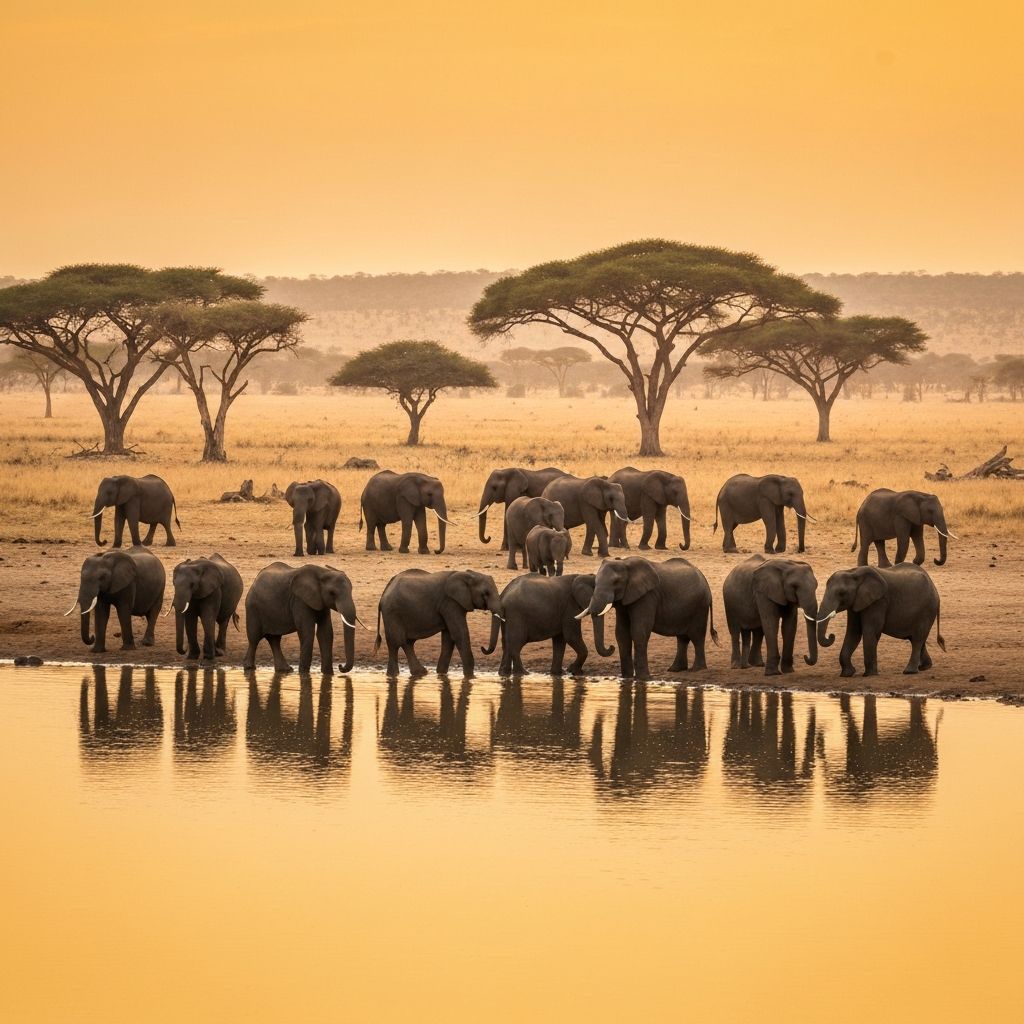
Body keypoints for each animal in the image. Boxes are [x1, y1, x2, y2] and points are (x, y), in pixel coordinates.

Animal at [374, 568, 503, 678]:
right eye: (486, 593)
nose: (483, 648)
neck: (466, 574)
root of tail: (383, 594)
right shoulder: (450, 603)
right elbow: (459, 634)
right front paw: (470, 677)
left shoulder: (450, 605)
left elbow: (449, 637)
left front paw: (441, 674)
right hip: (392, 613)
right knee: (399, 642)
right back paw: (404, 675)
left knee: (402, 643)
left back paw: (411, 674)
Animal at [479, 572, 615, 675]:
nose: (612, 647)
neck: (584, 575)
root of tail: (503, 595)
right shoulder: (570, 608)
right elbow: (571, 636)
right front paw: (574, 671)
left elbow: (560, 641)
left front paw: (558, 674)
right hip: (516, 614)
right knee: (515, 644)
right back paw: (523, 674)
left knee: (506, 643)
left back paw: (504, 674)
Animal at [578, 556, 718, 680]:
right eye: (595, 583)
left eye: (615, 582)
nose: (611, 647)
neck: (624, 562)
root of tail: (705, 581)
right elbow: (622, 634)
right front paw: (626, 678)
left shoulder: (647, 596)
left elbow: (639, 632)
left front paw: (643, 679)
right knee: (682, 638)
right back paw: (675, 669)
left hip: (700, 606)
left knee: (697, 637)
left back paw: (697, 669)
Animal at [816, 563, 945, 676]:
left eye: (841, 593)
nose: (831, 635)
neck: (853, 572)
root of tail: (935, 589)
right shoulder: (856, 602)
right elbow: (853, 632)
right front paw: (847, 674)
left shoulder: (879, 601)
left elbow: (870, 631)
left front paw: (869, 675)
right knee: (918, 639)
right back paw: (924, 667)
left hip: (927, 610)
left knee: (917, 639)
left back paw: (909, 671)